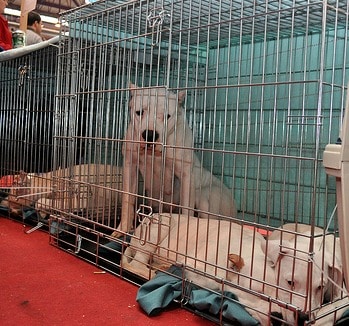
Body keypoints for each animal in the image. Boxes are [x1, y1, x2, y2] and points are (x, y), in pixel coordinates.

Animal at [114, 84, 237, 237]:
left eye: (167, 116)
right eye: (139, 112)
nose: (150, 134)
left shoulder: (186, 176)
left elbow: (186, 208)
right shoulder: (130, 167)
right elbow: (127, 200)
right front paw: (122, 230)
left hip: (205, 195)